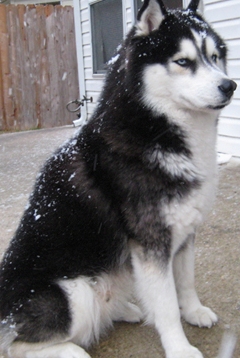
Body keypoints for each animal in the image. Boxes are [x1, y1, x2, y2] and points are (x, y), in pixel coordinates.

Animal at [0, 0, 236, 358]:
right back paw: (73, 351)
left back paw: (124, 309)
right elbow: (166, 305)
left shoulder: (185, 229)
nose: (229, 85)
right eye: (183, 61)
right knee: (17, 344)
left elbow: (185, 280)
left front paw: (194, 311)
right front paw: (180, 347)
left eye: (214, 56)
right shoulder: (151, 241)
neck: (155, 129)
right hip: (72, 293)